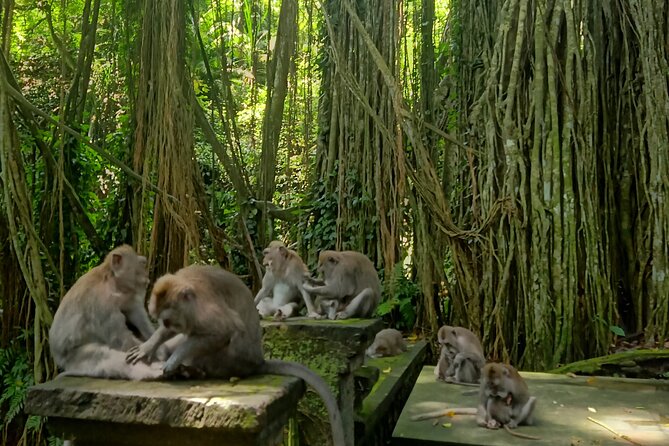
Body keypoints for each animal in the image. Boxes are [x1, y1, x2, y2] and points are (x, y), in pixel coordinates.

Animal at [49, 245, 163, 380]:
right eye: (142, 264)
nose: (147, 275)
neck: (112, 283)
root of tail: (60, 360)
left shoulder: (127, 296)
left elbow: (136, 315)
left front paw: (156, 344)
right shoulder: (101, 306)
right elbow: (120, 338)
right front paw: (157, 353)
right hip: (75, 357)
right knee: (104, 355)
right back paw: (151, 373)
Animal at [126, 265, 345, 445]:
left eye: (168, 320)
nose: (169, 325)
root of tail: (258, 361)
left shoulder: (204, 310)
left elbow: (223, 330)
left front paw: (173, 361)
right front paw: (148, 347)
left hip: (232, 359)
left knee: (230, 334)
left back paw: (192, 370)